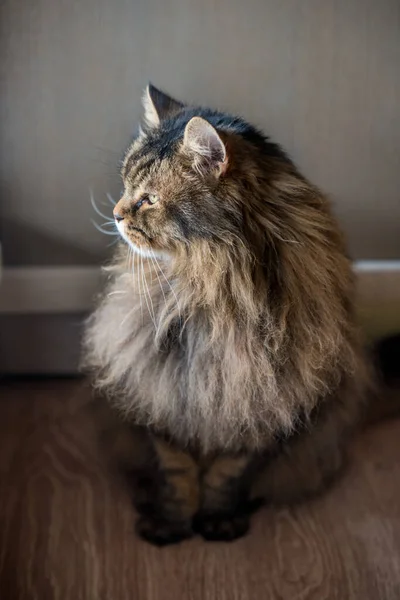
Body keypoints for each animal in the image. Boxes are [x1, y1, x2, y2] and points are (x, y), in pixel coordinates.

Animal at [81, 84, 384, 548]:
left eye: (148, 199)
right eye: (125, 186)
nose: (115, 214)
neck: (213, 294)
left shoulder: (260, 402)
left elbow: (227, 475)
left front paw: (218, 521)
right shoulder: (164, 395)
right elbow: (177, 474)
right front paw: (171, 524)